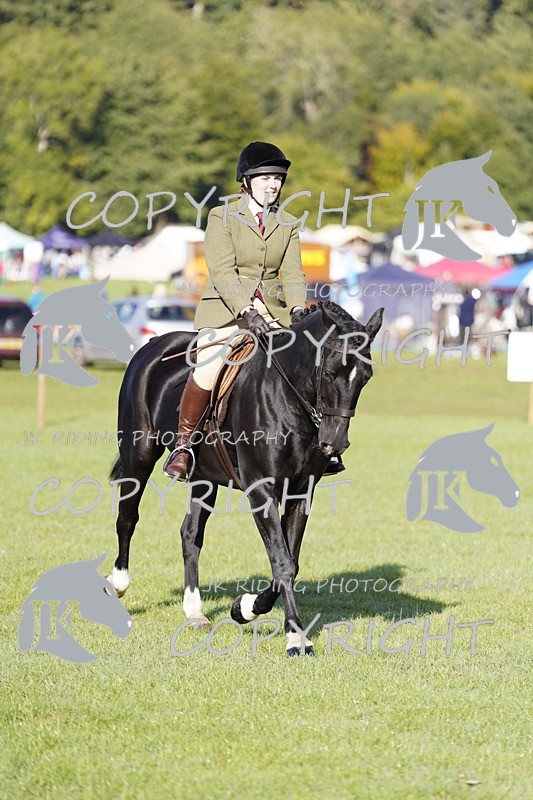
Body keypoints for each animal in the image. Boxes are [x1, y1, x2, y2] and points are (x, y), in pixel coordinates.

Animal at [107, 301, 383, 656]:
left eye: (365, 377)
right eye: (329, 371)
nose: (333, 443)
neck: (287, 397)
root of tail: (153, 345)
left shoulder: (300, 492)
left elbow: (289, 562)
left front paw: (245, 608)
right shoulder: (260, 490)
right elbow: (282, 561)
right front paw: (295, 637)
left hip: (203, 478)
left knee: (190, 534)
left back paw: (195, 612)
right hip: (138, 455)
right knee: (127, 518)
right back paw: (118, 584)